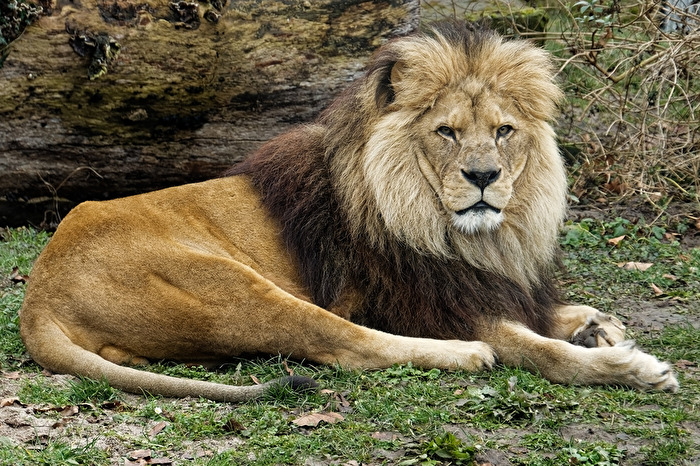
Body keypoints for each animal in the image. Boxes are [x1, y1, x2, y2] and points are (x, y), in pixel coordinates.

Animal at [19, 23, 678, 401]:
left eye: (503, 131)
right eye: (446, 132)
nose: (484, 177)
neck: (463, 235)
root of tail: (38, 296)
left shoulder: (480, 282)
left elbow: (555, 313)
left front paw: (596, 325)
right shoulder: (426, 302)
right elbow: (541, 350)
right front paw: (629, 367)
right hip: (229, 286)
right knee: (347, 345)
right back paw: (463, 355)